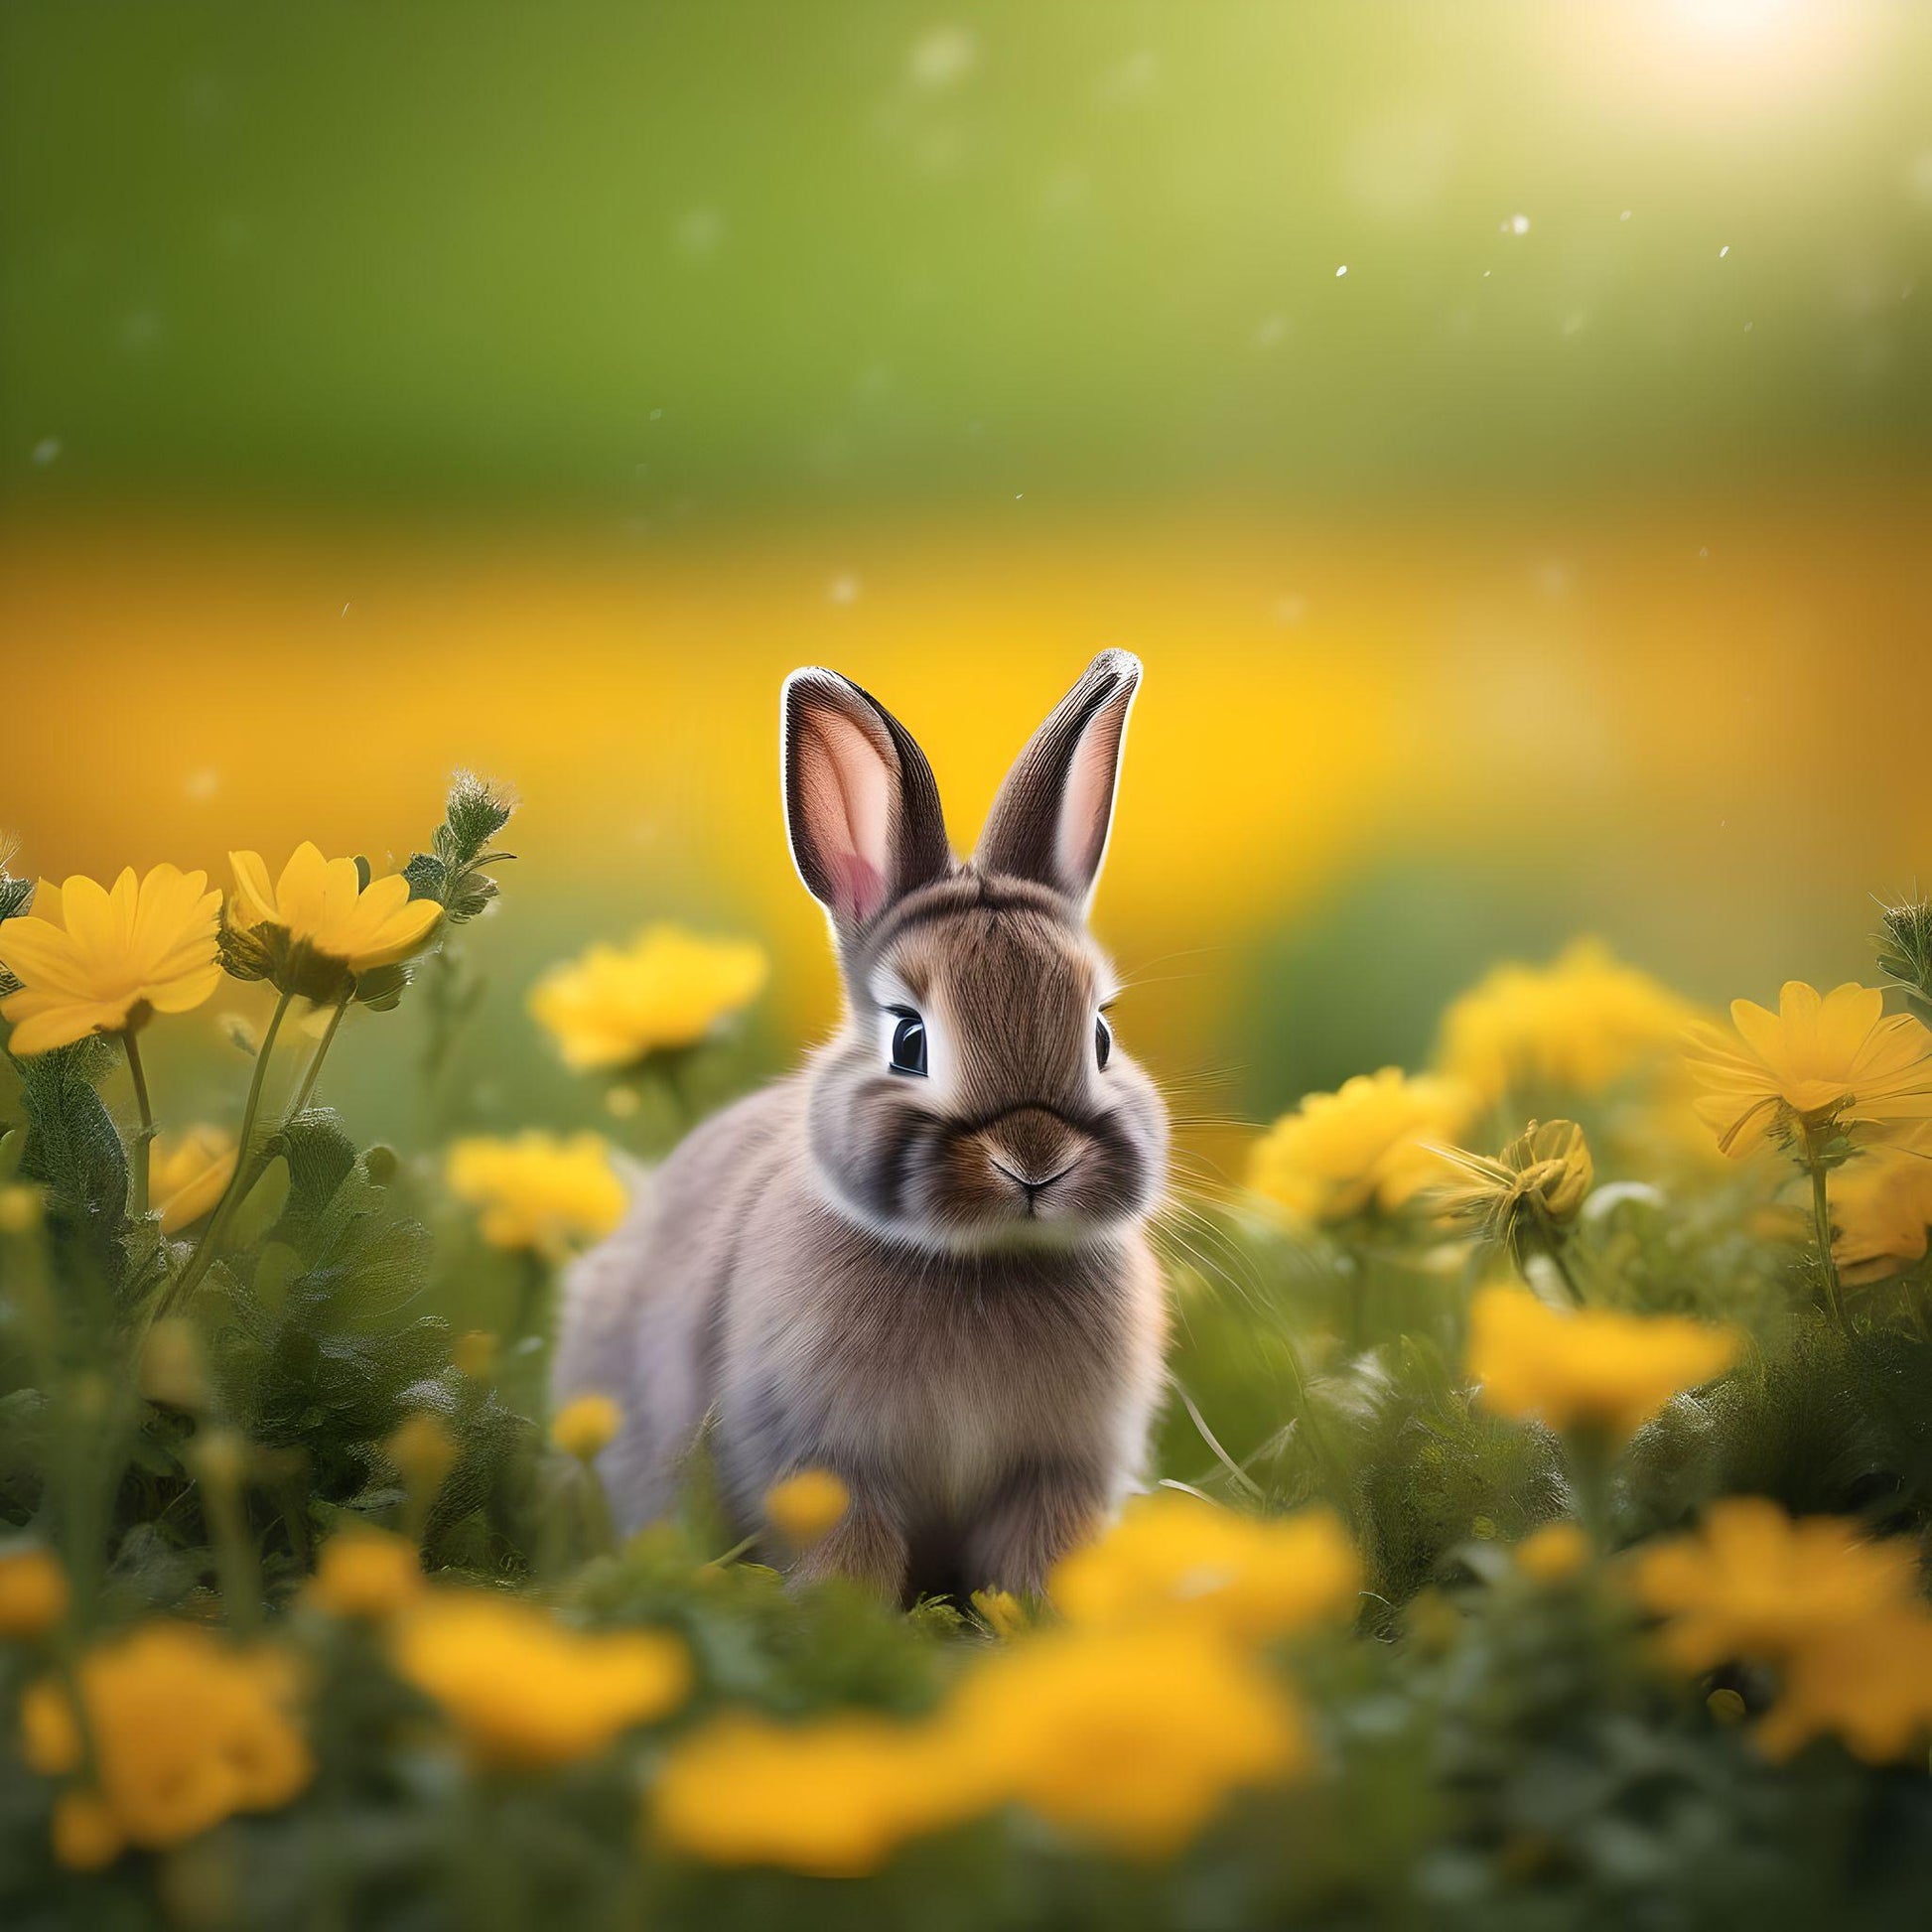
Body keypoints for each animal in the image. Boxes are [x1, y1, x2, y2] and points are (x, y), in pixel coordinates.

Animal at [552, 650, 1170, 1601]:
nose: (1034, 1161)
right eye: (909, 1041)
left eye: (1100, 1036)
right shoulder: (824, 1467)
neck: (981, 1264)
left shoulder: (1056, 1475)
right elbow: (851, 1558)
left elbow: (1041, 1558)